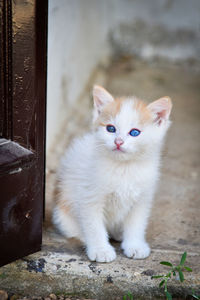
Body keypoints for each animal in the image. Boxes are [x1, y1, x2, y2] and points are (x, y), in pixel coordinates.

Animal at [52, 85, 172, 262]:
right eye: (110, 129)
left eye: (134, 132)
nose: (118, 142)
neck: (124, 168)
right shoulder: (89, 198)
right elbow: (94, 226)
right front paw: (100, 249)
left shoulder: (142, 198)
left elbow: (136, 224)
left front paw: (135, 245)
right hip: (63, 210)